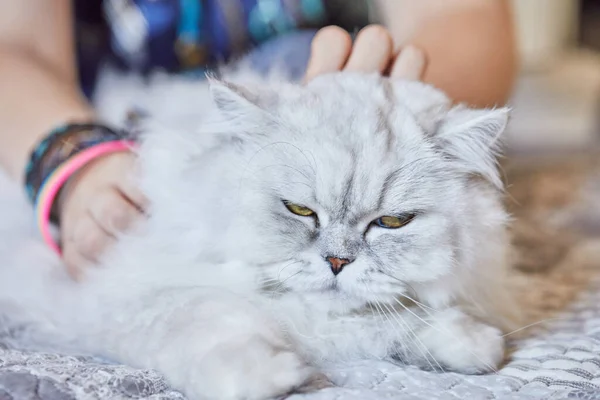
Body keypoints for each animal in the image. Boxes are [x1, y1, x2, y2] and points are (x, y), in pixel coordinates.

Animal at [0, 70, 520, 400]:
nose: (337, 262)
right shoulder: (123, 294)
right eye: (300, 211)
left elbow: (404, 319)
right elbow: (213, 320)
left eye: (391, 223)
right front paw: (269, 376)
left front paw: (470, 345)